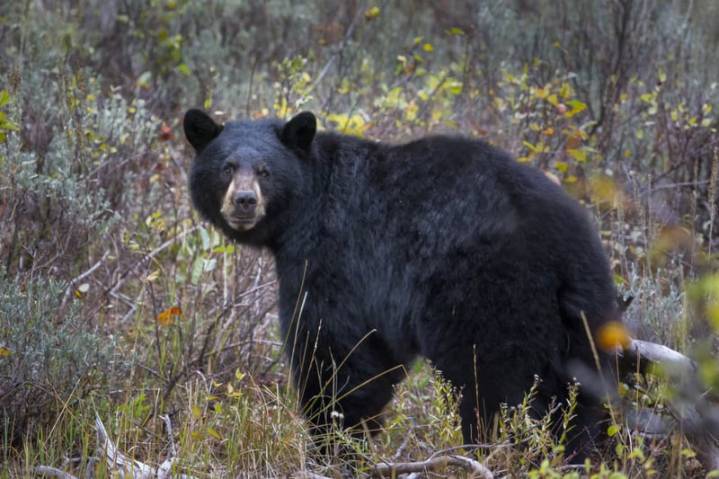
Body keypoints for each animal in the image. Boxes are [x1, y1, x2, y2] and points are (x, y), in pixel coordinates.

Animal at [184, 109, 620, 457]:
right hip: (582, 316)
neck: (306, 206)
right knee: (574, 396)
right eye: (226, 166)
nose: (244, 201)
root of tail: (564, 247)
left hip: (493, 301)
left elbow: (335, 350)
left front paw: (334, 444)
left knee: (500, 388)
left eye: (265, 171)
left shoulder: (336, 256)